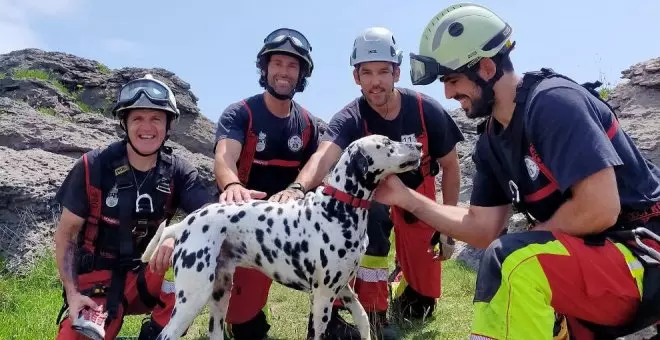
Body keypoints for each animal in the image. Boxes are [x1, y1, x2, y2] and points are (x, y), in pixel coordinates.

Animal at [142, 134, 426, 338]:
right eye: (386, 143)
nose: (420, 145)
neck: (338, 207)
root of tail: (186, 222)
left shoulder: (345, 290)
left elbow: (364, 320)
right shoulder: (322, 297)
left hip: (220, 297)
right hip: (192, 298)